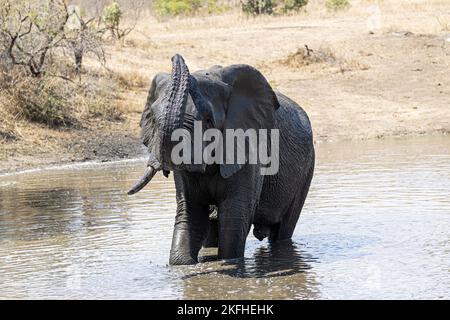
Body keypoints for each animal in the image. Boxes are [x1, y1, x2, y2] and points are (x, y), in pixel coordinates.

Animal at [128, 54, 314, 264]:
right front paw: (183, 264)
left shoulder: (249, 148)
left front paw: (230, 263)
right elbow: (190, 212)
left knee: (283, 230)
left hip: (306, 170)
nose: (176, 57)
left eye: (208, 121)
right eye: (153, 118)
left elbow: (235, 216)